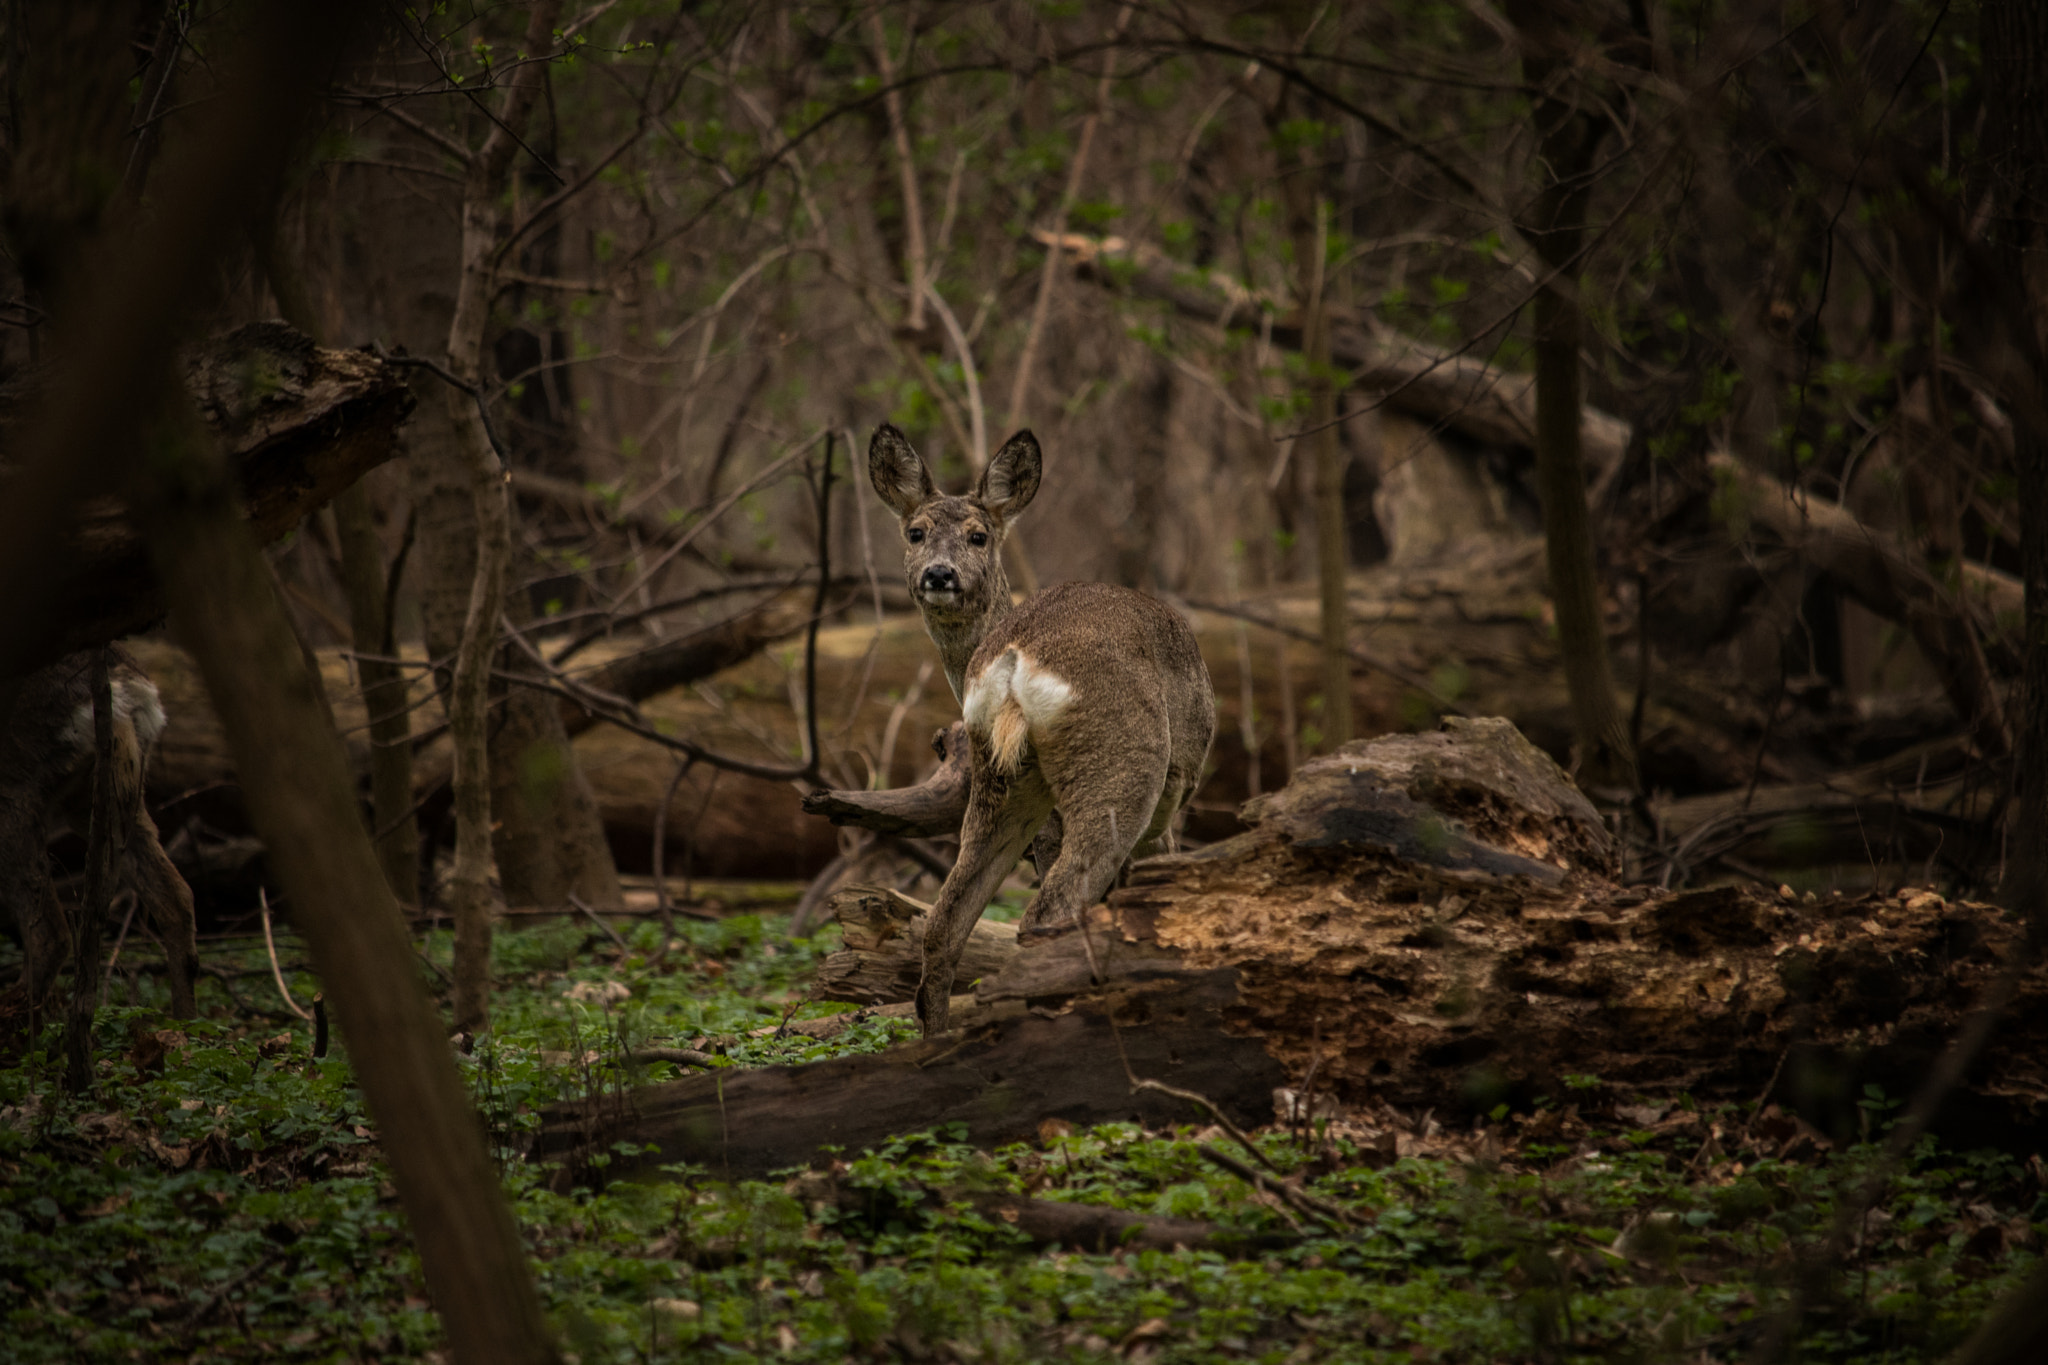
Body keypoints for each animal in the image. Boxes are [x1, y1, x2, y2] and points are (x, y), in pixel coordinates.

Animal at [867, 424, 1215, 1034]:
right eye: (915, 533)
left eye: (978, 536)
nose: (939, 573)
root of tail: (1013, 654)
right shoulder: (1167, 803)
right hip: (1122, 767)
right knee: (1049, 912)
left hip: (998, 782)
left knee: (942, 925)